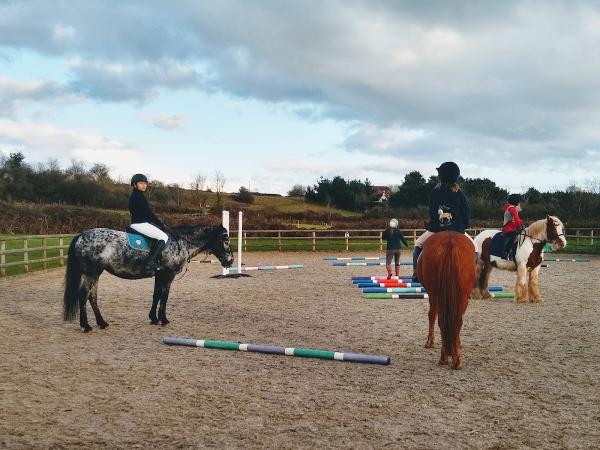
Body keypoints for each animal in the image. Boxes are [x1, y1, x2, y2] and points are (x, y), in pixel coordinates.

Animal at [63, 224, 232, 330]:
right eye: (225, 240)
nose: (230, 261)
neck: (180, 242)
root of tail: (81, 235)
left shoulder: (159, 275)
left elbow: (156, 295)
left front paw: (154, 318)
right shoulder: (168, 275)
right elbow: (164, 296)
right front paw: (163, 319)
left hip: (95, 274)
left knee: (92, 297)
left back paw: (102, 323)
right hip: (92, 273)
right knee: (83, 295)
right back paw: (86, 326)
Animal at [420, 232, 476, 370]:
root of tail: (450, 241)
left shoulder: (432, 294)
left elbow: (432, 315)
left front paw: (430, 342)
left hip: (436, 293)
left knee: (440, 318)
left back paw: (445, 357)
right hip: (462, 295)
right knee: (457, 321)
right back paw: (455, 359)